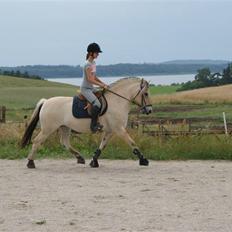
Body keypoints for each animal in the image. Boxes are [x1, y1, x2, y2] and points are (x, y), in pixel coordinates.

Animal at [20, 78, 153, 169]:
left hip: (65, 127)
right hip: (48, 129)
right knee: (37, 141)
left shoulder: (110, 131)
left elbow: (102, 146)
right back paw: (30, 162)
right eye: (146, 94)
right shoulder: (119, 129)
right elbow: (132, 143)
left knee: (65, 143)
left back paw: (80, 158)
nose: (149, 110)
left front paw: (94, 161)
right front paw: (144, 160)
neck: (117, 102)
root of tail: (46, 101)